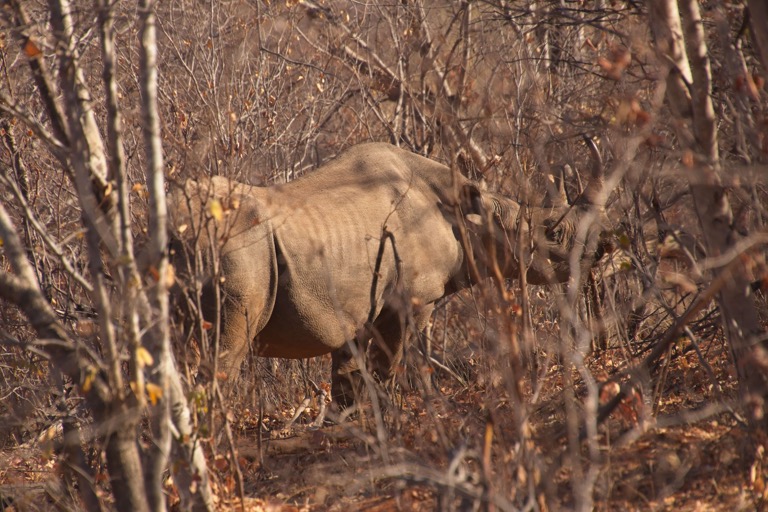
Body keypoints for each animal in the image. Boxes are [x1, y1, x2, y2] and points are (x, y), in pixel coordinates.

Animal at [169, 142, 607, 408]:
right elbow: (386, 365)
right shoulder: (411, 300)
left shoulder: (350, 308)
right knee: (221, 355)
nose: (598, 250)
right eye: (553, 233)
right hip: (231, 248)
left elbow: (347, 375)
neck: (471, 213)